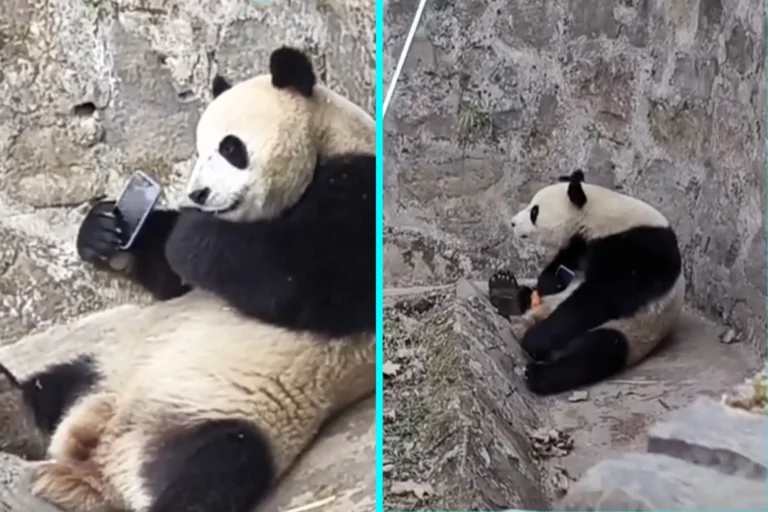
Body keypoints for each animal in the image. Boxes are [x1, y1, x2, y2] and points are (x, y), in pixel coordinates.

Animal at [0, 46, 375, 512]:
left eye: (230, 147)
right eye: (198, 149)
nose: (198, 194)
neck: (330, 140)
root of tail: (102, 471)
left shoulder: (360, 191)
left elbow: (311, 278)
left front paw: (189, 234)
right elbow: (171, 281)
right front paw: (104, 230)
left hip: (237, 415)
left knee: (214, 467)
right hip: (111, 363)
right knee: (59, 382)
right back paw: (13, 411)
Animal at [488, 170, 684, 396]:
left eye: (534, 212)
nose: (512, 222)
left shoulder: (640, 251)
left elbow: (599, 297)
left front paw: (535, 340)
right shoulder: (580, 244)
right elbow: (559, 268)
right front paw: (548, 280)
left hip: (632, 332)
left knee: (596, 352)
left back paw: (537, 373)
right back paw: (506, 292)